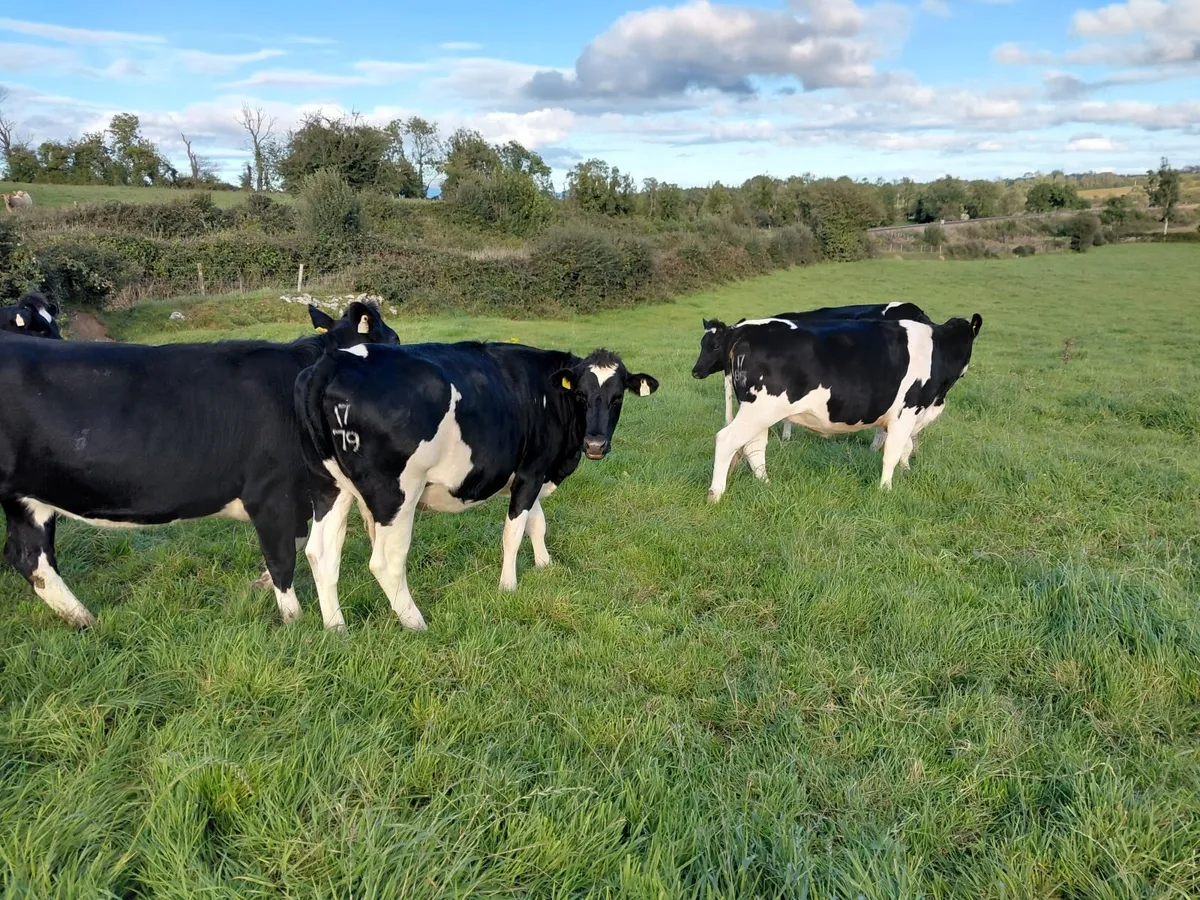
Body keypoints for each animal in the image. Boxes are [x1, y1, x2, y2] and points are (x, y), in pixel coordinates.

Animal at [0, 301, 399, 628]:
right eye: (392, 340)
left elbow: (294, 545)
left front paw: (262, 586)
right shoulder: (269, 494)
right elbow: (282, 557)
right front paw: (293, 619)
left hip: (26, 499)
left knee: (30, 558)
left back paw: (84, 619)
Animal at [294, 341, 659, 632]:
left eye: (617, 398)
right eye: (581, 395)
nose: (596, 444)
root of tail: (336, 360)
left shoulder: (533, 473)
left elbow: (537, 523)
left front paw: (545, 565)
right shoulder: (531, 471)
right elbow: (514, 533)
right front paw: (508, 586)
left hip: (330, 487)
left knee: (321, 553)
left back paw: (336, 627)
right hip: (395, 493)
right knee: (385, 561)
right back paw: (415, 622)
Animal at [704, 312, 982, 502]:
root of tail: (742, 329)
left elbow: (907, 447)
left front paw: (905, 472)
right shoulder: (907, 411)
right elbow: (892, 452)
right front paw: (885, 489)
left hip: (760, 411)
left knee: (754, 446)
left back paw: (766, 483)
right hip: (760, 409)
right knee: (726, 440)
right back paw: (716, 493)